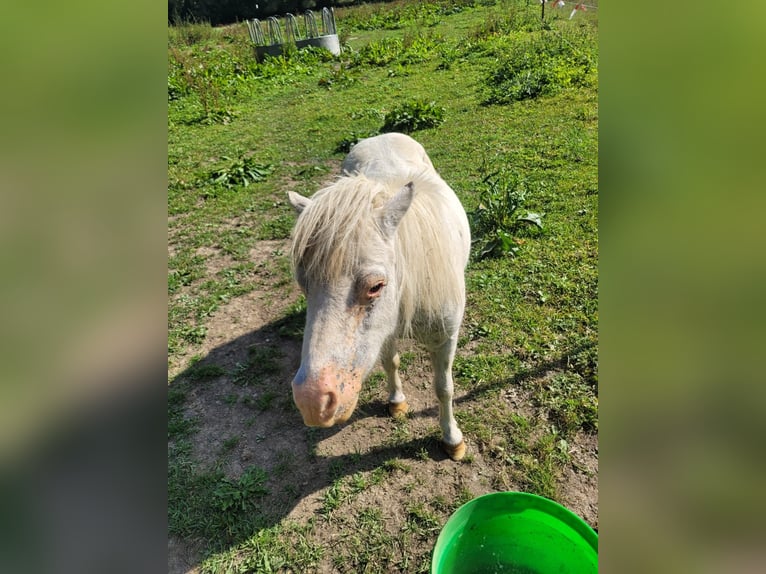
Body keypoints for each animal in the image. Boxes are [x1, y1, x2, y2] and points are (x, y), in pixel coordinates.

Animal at [286, 133, 472, 462]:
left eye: (376, 286)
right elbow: (391, 362)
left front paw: (452, 439)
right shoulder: (384, 332)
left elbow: (444, 388)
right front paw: (397, 402)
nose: (313, 403)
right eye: (302, 283)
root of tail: (381, 135)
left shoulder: (446, 338)